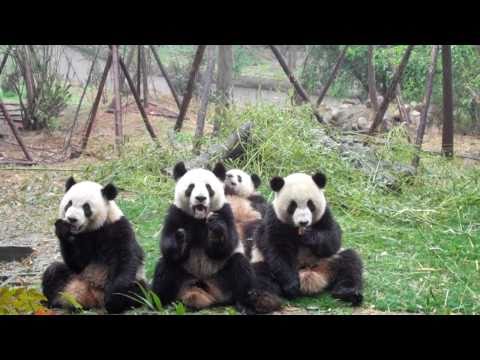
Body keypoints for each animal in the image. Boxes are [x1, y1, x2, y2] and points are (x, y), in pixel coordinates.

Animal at [41, 179, 146, 314]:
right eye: (69, 204)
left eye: (86, 207)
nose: (72, 219)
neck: (93, 228)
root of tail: (91, 298)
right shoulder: (82, 239)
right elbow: (78, 263)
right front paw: (62, 228)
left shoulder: (118, 229)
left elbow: (125, 259)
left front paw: (114, 297)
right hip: (74, 278)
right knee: (54, 272)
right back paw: (53, 302)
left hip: (136, 280)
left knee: (138, 291)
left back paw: (114, 304)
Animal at [151, 162, 282, 314]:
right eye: (191, 187)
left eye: (208, 187)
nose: (200, 198)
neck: (199, 218)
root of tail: (206, 290)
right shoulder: (176, 214)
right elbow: (167, 243)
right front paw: (180, 239)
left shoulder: (227, 211)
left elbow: (227, 244)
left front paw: (216, 230)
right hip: (184, 276)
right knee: (166, 265)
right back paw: (161, 302)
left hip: (222, 278)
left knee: (240, 267)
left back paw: (248, 303)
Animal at [251, 172, 364, 306]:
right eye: (292, 206)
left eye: (311, 204)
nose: (303, 222)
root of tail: (312, 276)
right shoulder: (274, 219)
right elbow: (277, 249)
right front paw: (292, 287)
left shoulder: (325, 215)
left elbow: (332, 239)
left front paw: (309, 236)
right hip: (261, 260)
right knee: (259, 276)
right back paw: (265, 300)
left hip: (329, 260)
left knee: (350, 263)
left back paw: (349, 293)